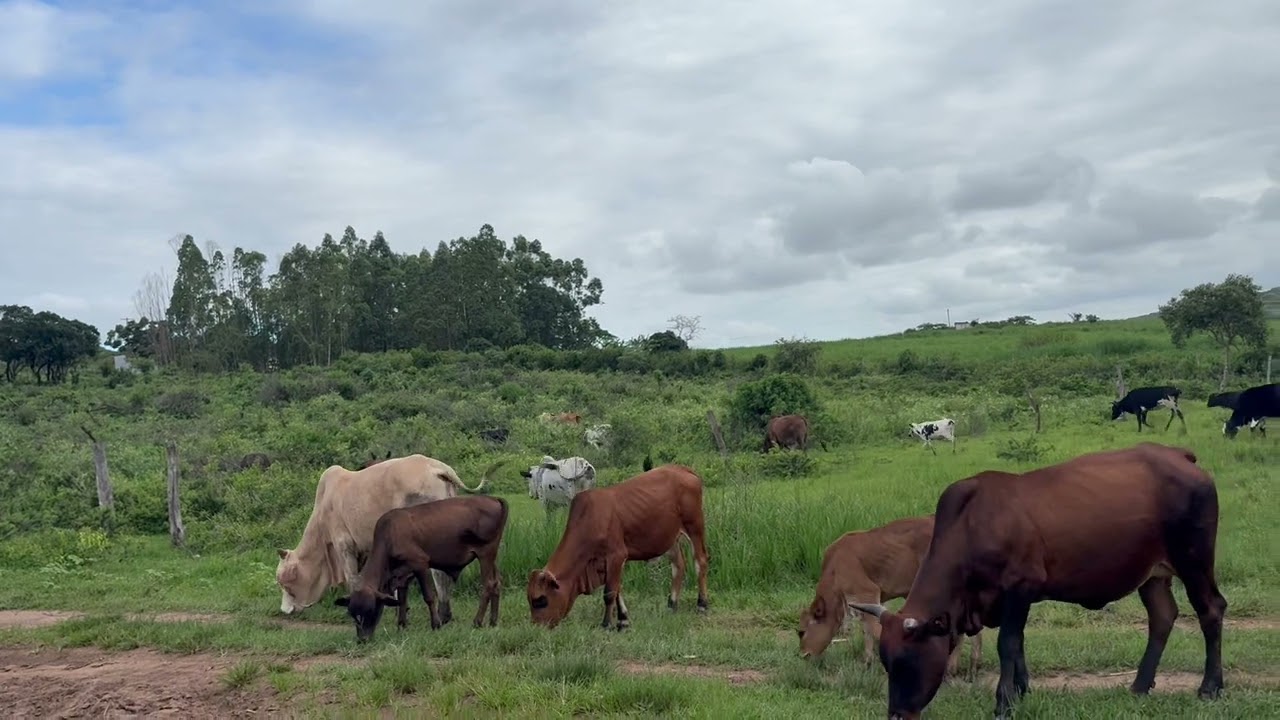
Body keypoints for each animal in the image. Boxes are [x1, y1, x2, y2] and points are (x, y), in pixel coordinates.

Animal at [275, 454, 497, 623]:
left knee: (438, 573)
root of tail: (438, 468)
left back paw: (442, 615)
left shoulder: (344, 545)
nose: (285, 611)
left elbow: (353, 579)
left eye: (284, 583)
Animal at [334, 494, 508, 642]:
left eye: (370, 610)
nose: (363, 639)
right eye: (352, 613)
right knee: (497, 582)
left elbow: (429, 596)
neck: (390, 536)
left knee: (489, 584)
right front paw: (402, 625)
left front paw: (436, 624)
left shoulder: (420, 563)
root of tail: (494, 499)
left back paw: (477, 621)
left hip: (485, 554)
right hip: (492, 556)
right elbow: (402, 599)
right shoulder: (402, 574)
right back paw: (493, 621)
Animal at [526, 464, 710, 631]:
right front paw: (623, 620)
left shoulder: (616, 555)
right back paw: (672, 605)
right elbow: (616, 590)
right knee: (678, 566)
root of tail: (683, 469)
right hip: (670, 538)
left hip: (695, 527)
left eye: (541, 600)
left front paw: (607, 624)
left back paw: (702, 604)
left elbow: (609, 593)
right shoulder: (610, 564)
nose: (537, 627)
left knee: (700, 561)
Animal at [797, 515, 983, 681]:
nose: (803, 655)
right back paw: (965, 668)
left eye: (801, 632)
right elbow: (867, 631)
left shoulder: (868, 592)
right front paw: (867, 663)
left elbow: (875, 631)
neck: (834, 569)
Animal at [848, 443, 1226, 720]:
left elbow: (1008, 644)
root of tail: (1178, 454)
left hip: (1194, 561)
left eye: (908, 661)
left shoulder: (1020, 588)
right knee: (1162, 617)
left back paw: (1210, 687)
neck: (972, 525)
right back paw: (1140, 685)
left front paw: (1004, 703)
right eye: (886, 662)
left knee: (1211, 610)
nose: (897, 715)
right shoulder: (1012, 600)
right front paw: (1021, 689)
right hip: (1153, 575)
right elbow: (1019, 645)